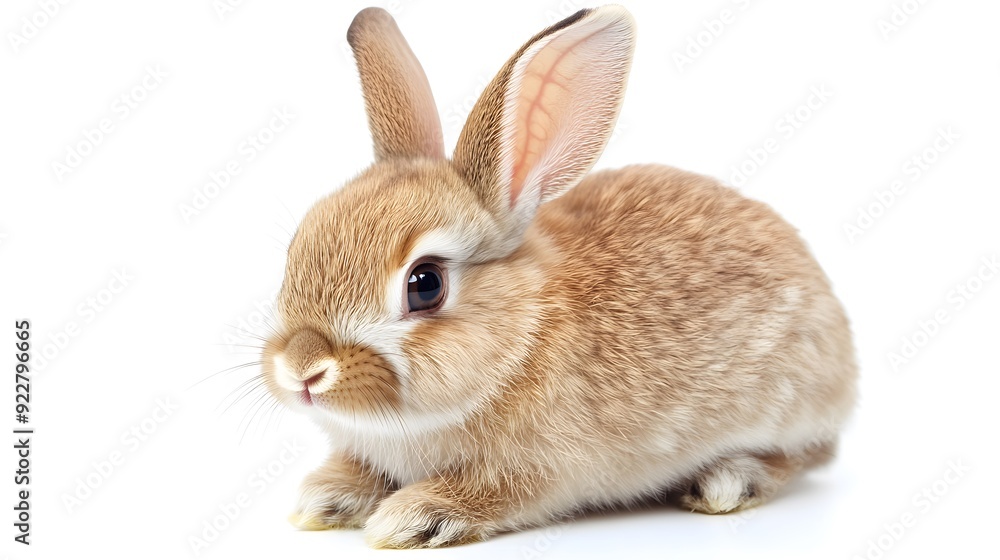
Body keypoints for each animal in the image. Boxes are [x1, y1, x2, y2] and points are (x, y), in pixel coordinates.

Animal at [261, 4, 857, 549]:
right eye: (297, 247)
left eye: (425, 284)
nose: (302, 369)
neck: (519, 340)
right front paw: (325, 497)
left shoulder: (540, 471)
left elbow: (496, 492)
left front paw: (414, 516)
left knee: (802, 455)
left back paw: (728, 481)